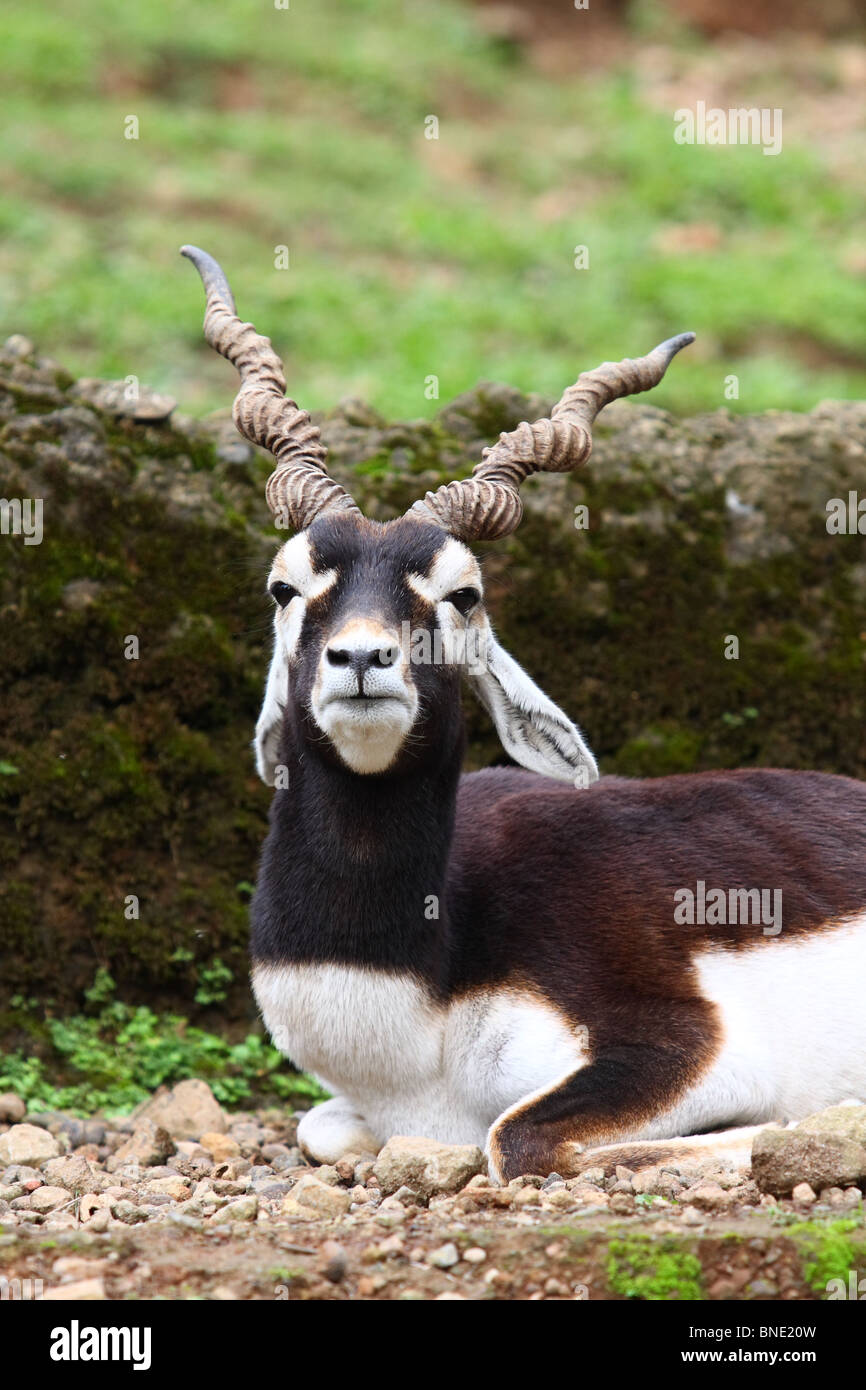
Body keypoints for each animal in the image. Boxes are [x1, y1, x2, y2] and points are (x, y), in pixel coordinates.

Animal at [183, 250, 866, 1184]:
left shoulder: (693, 1048)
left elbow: (517, 1138)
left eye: (463, 594)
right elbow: (321, 1128)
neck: (427, 987)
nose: (361, 660)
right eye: (285, 588)